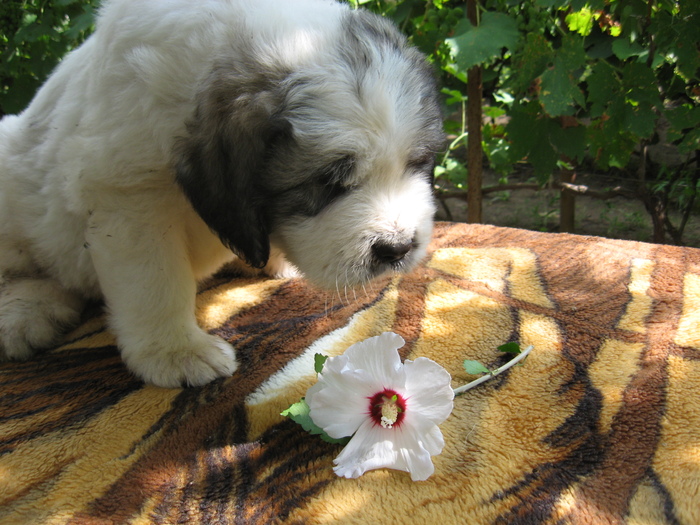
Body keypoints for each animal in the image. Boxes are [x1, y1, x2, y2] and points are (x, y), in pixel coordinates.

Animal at [0, 0, 442, 384]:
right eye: (327, 182)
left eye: (417, 164)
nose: (397, 249)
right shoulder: (130, 194)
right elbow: (155, 283)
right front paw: (176, 352)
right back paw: (26, 314)